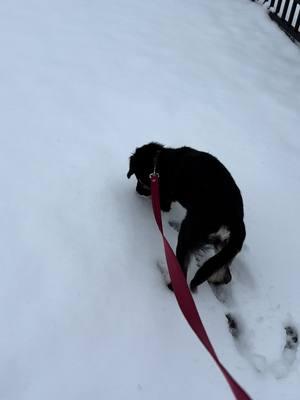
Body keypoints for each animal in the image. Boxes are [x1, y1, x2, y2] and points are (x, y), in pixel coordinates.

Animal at [127, 143, 246, 290]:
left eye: (139, 178)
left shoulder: (165, 199)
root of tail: (234, 220)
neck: (159, 161)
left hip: (188, 233)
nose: (137, 191)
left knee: (182, 272)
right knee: (225, 274)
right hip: (225, 249)